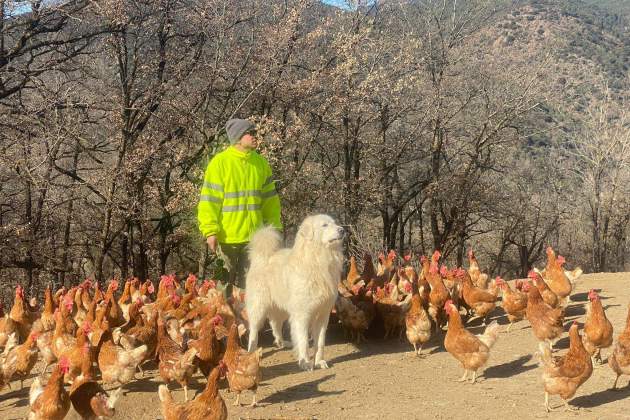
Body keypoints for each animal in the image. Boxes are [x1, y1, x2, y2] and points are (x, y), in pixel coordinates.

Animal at [247, 215, 346, 370]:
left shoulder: (323, 314)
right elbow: (303, 341)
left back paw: (281, 342)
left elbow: (320, 343)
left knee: (275, 324)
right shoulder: (302, 315)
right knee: (253, 330)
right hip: (259, 307)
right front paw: (305, 363)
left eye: (335, 223)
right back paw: (251, 352)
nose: (342, 230)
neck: (318, 260)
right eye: (324, 225)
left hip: (281, 309)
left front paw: (319, 362)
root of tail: (262, 256)